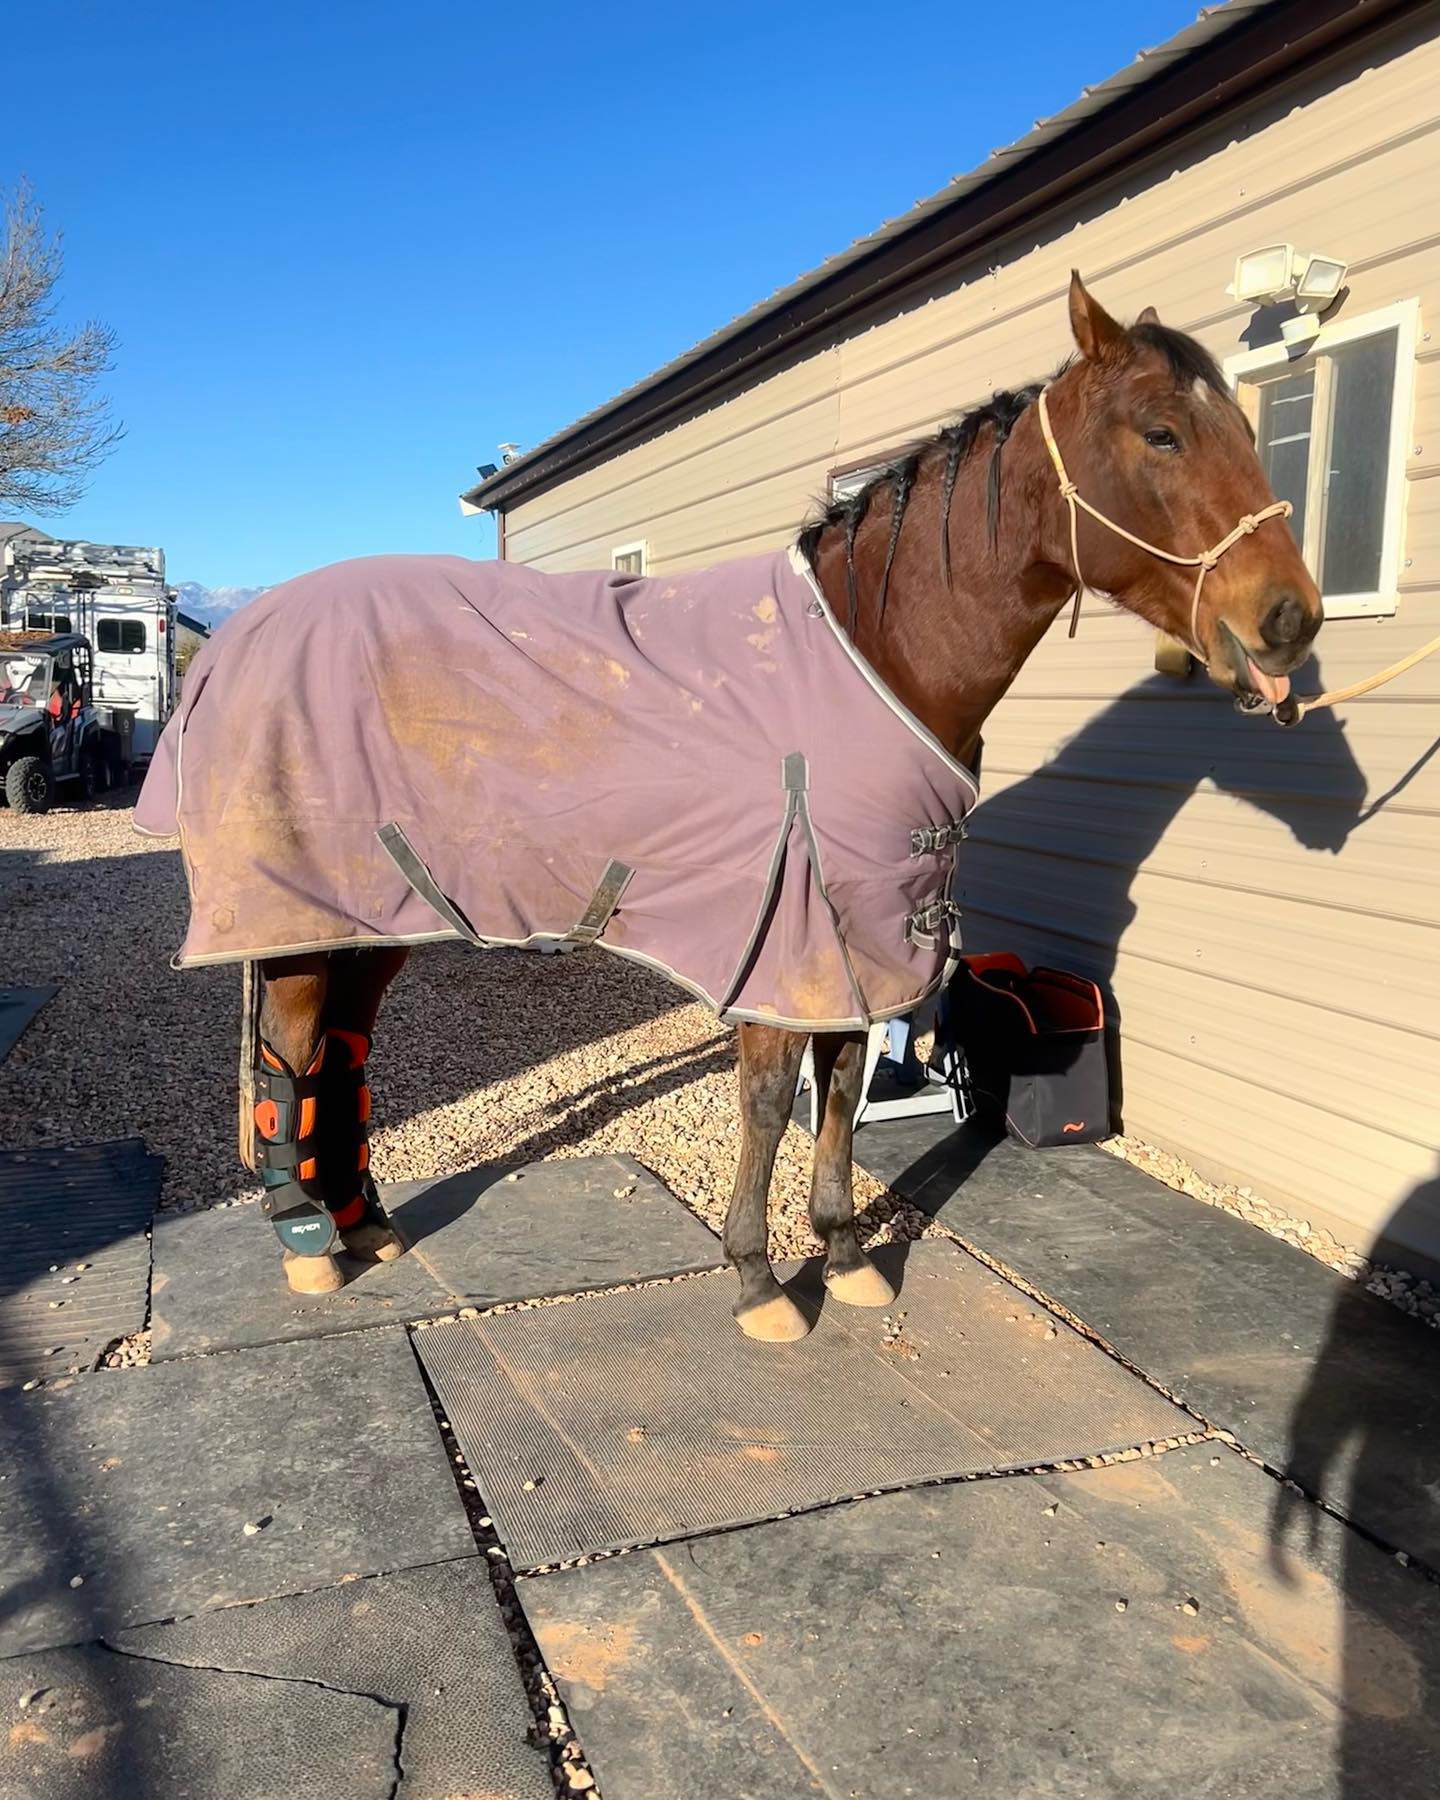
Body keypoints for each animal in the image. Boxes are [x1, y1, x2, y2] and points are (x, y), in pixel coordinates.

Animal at [135, 277, 1317, 1339]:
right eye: (1161, 433)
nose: (1290, 618)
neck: (879, 652)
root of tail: (233, 642)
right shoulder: (788, 938)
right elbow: (768, 1102)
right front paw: (758, 1282)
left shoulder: (863, 936)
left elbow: (842, 1092)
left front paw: (844, 1256)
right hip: (302, 917)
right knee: (291, 1054)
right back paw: (307, 1241)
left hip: (384, 911)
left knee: (343, 1051)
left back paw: (364, 1222)